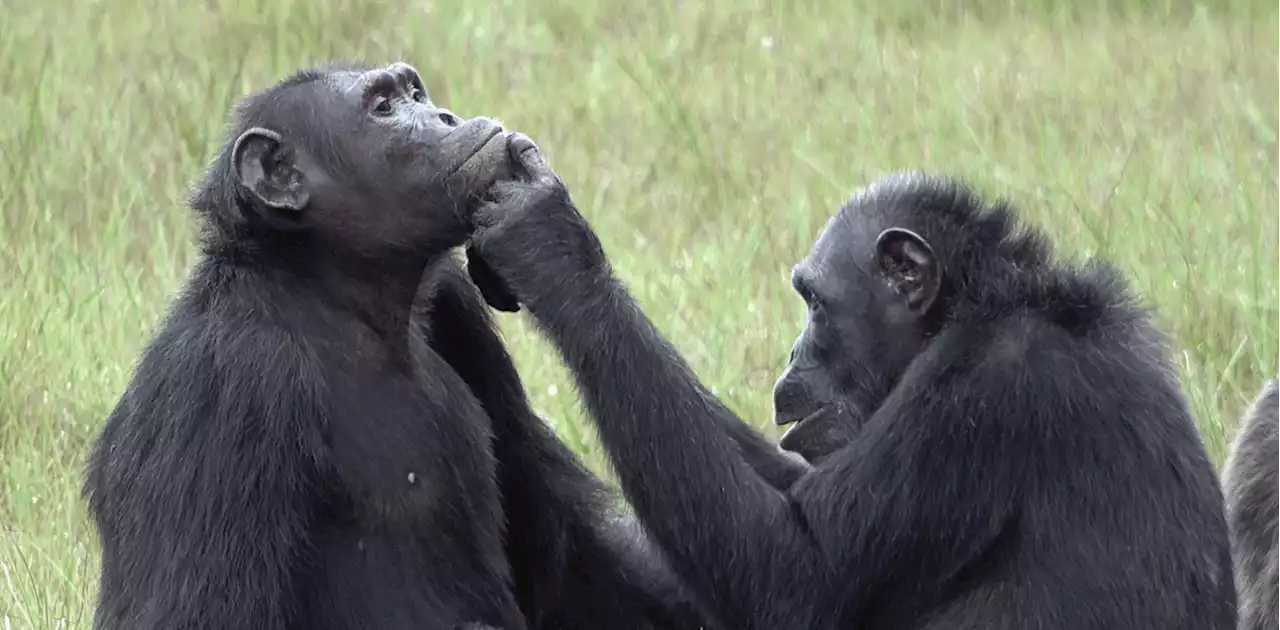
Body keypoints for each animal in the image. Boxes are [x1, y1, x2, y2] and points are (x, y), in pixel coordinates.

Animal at [85, 62, 716, 630]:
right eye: (383, 108)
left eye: (415, 93)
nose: (444, 116)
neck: (337, 296)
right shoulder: (225, 385)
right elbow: (195, 614)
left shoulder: (457, 307)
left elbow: (570, 567)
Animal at [468, 149, 1239, 627]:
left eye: (813, 302)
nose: (792, 352)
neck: (977, 307)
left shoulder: (981, 395)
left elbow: (798, 576)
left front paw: (553, 247)